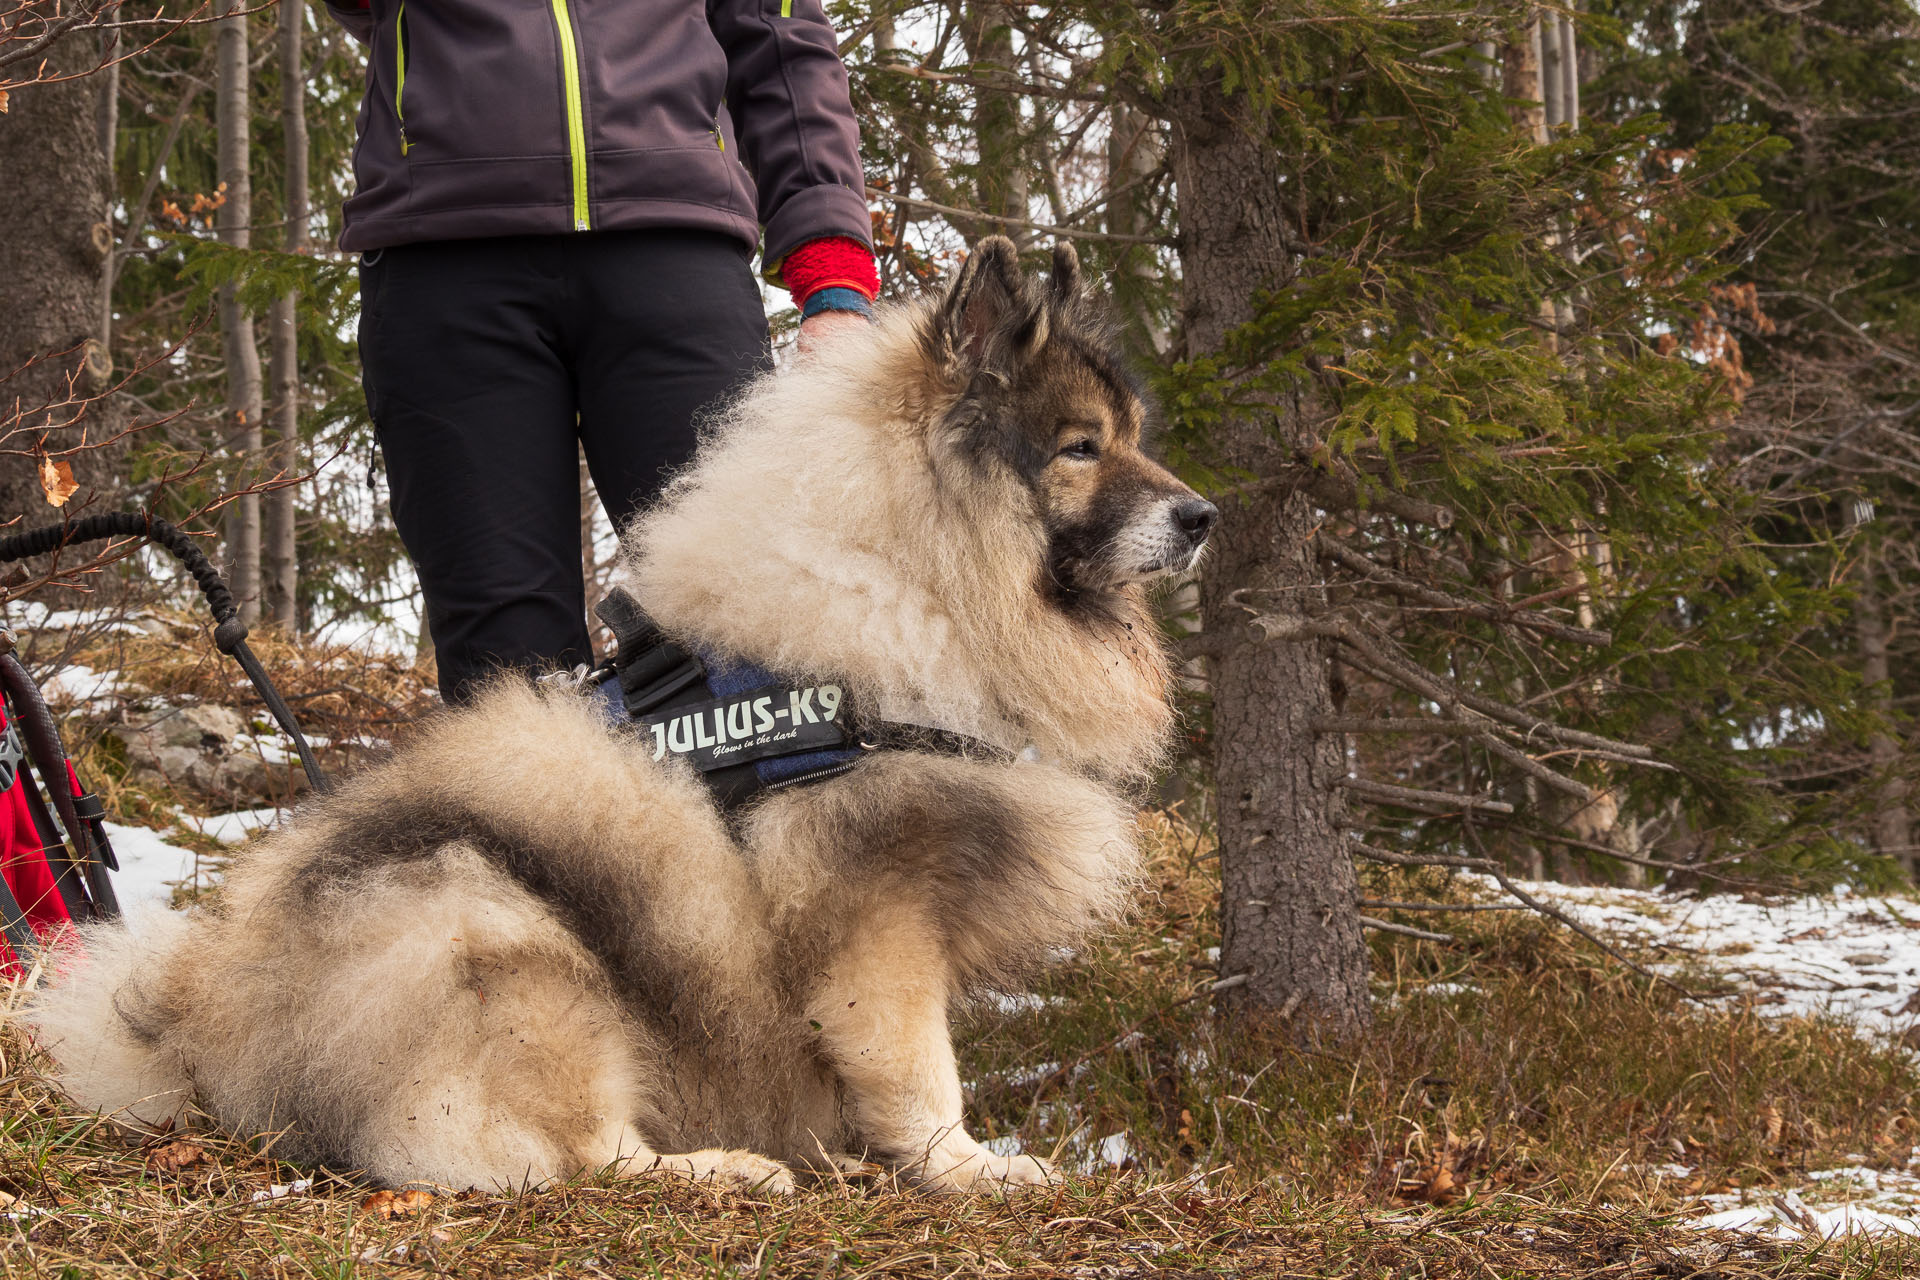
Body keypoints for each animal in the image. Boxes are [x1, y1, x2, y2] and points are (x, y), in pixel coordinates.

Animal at [22, 239, 1213, 1205]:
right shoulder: (875, 906)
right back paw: (726, 1169)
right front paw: (968, 1168)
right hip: (507, 940)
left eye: (1131, 438)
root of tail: (207, 1030)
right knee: (575, 1152)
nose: (1202, 514)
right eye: (1080, 448)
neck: (902, 573)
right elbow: (921, 1069)